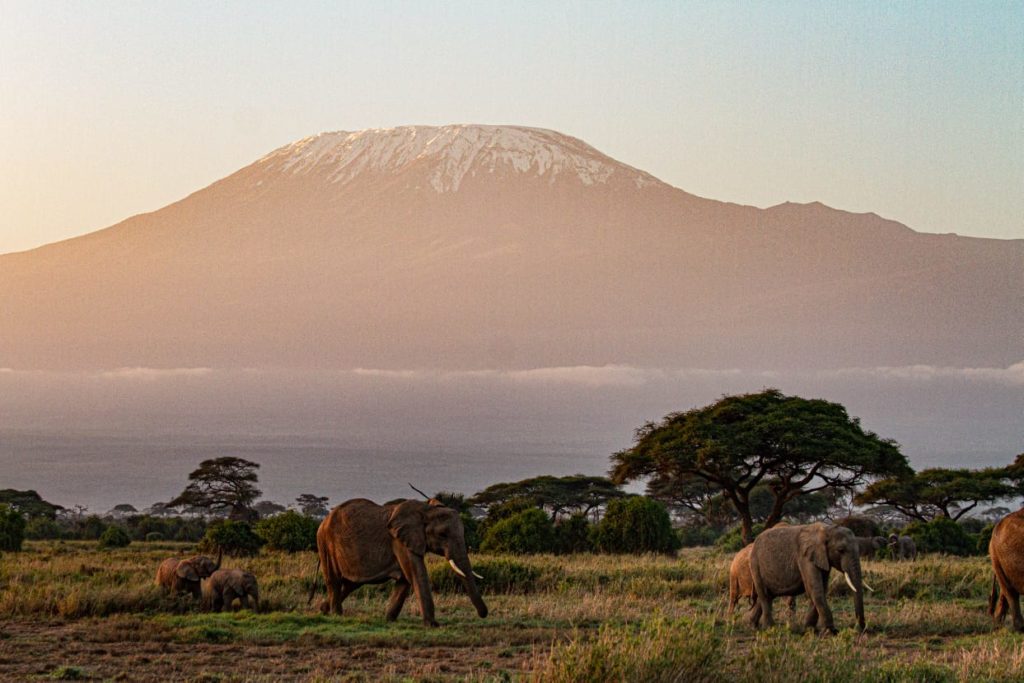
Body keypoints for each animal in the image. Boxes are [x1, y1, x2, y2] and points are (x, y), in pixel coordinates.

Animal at [314, 497, 488, 627]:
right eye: (442, 534)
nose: (484, 614)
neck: (426, 510)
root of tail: (323, 521)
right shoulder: (399, 541)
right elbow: (416, 574)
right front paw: (433, 625)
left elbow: (405, 579)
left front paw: (389, 620)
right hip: (325, 543)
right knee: (335, 580)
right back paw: (337, 615)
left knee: (352, 583)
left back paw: (323, 609)